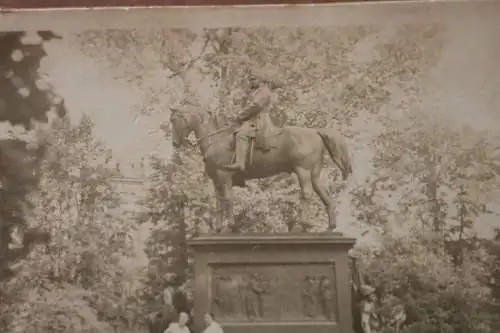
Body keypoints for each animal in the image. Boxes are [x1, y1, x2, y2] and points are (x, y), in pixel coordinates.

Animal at [170, 102, 354, 232]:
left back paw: (301, 225)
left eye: (173, 120)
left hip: (303, 171)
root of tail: (315, 132)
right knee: (324, 195)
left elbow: (228, 199)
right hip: (314, 174)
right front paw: (218, 228)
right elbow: (219, 204)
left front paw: (230, 226)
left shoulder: (224, 176)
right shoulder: (216, 180)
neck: (216, 140)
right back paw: (330, 227)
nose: (174, 143)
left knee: (306, 194)